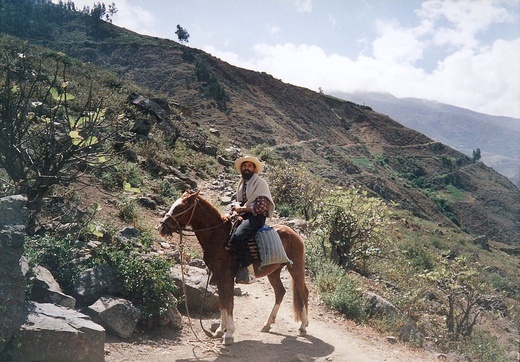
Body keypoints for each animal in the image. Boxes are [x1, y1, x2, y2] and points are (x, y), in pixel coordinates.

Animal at [158, 191, 308, 344]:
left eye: (181, 207)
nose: (162, 227)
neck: (218, 236)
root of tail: (294, 234)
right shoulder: (218, 276)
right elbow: (223, 301)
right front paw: (220, 330)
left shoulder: (226, 276)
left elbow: (229, 302)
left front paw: (229, 333)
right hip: (273, 272)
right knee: (280, 292)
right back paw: (267, 325)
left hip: (296, 268)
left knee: (304, 292)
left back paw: (303, 327)